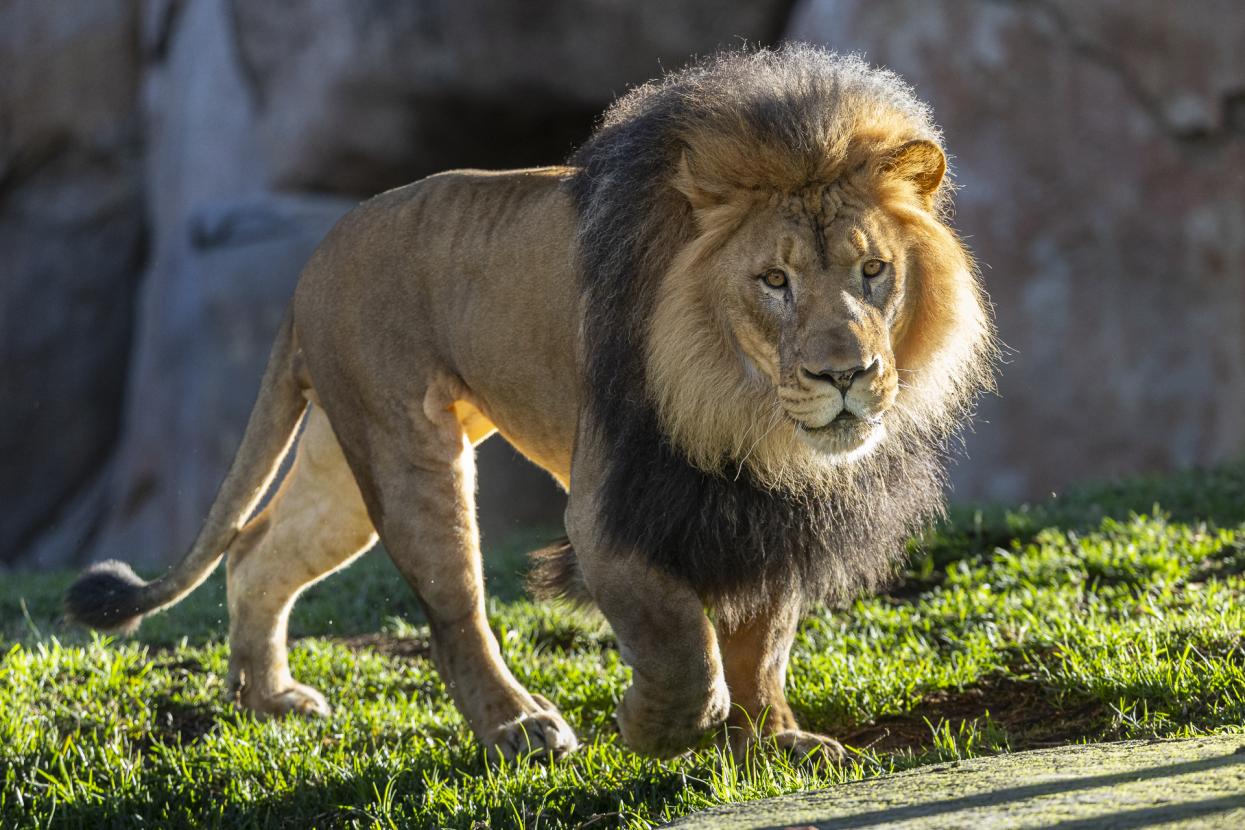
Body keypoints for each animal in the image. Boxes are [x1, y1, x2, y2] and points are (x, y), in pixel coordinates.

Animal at [65, 46, 996, 763]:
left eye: (872, 270)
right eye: (773, 280)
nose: (846, 373)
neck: (745, 407)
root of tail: (315, 260)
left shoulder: (769, 509)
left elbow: (759, 640)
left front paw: (775, 740)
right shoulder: (610, 510)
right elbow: (682, 645)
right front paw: (656, 728)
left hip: (340, 454)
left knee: (258, 548)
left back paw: (268, 699)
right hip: (406, 447)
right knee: (454, 613)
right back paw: (518, 727)